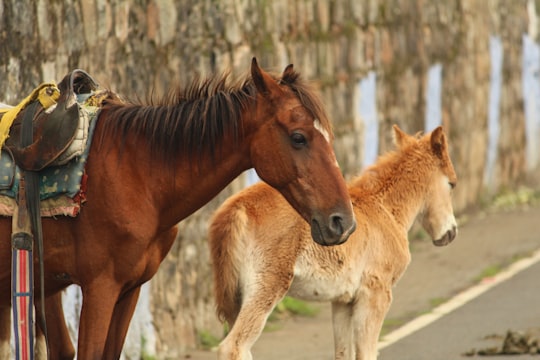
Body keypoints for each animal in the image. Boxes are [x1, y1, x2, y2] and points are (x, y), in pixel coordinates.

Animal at [209, 126, 458, 360]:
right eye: (452, 184)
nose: (451, 232)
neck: (384, 208)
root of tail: (237, 208)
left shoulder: (343, 301)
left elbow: (343, 352)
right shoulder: (376, 293)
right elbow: (367, 353)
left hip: (237, 298)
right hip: (266, 287)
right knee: (233, 346)